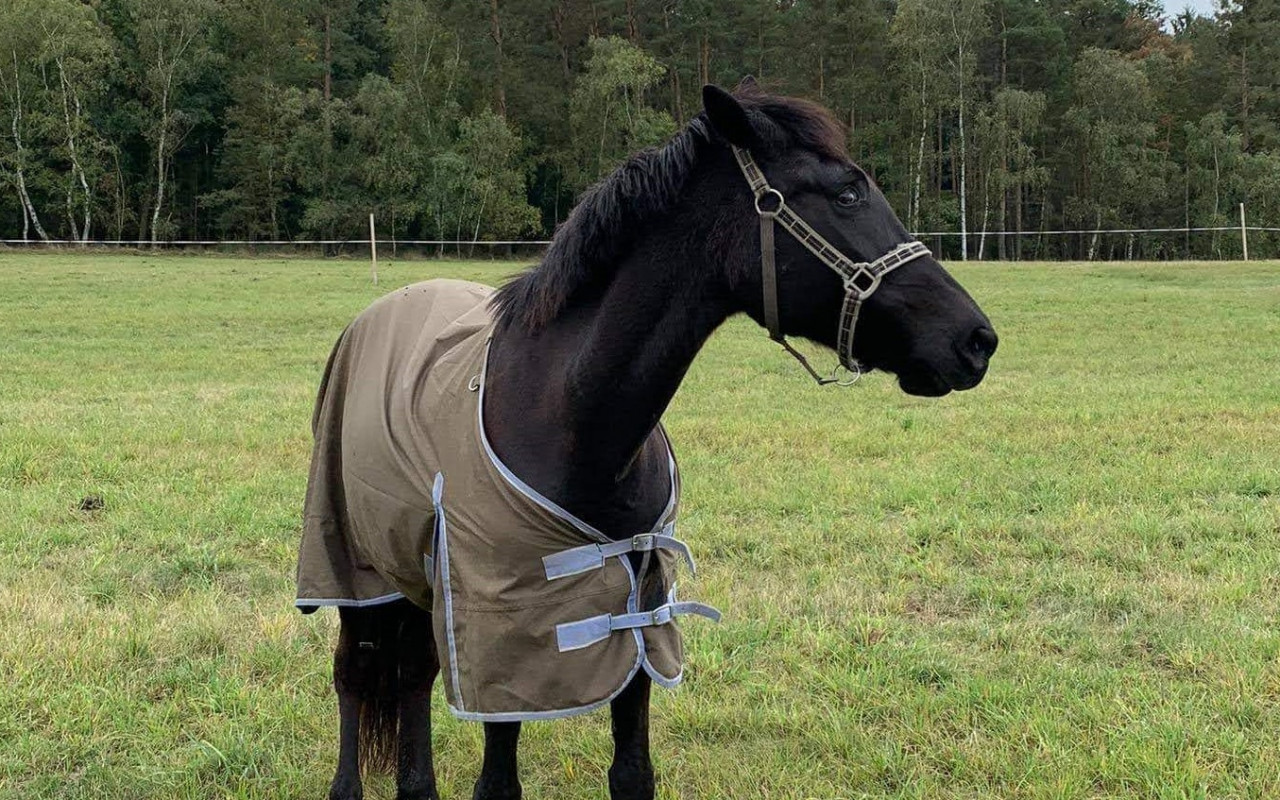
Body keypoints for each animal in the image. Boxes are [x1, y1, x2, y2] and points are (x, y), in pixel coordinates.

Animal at [314, 82, 993, 798]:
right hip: (355, 569)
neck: (571, 420)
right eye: (846, 194)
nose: (976, 339)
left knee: (413, 672)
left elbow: (632, 770)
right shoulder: (503, 629)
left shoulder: (637, 612)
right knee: (355, 675)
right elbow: (498, 777)